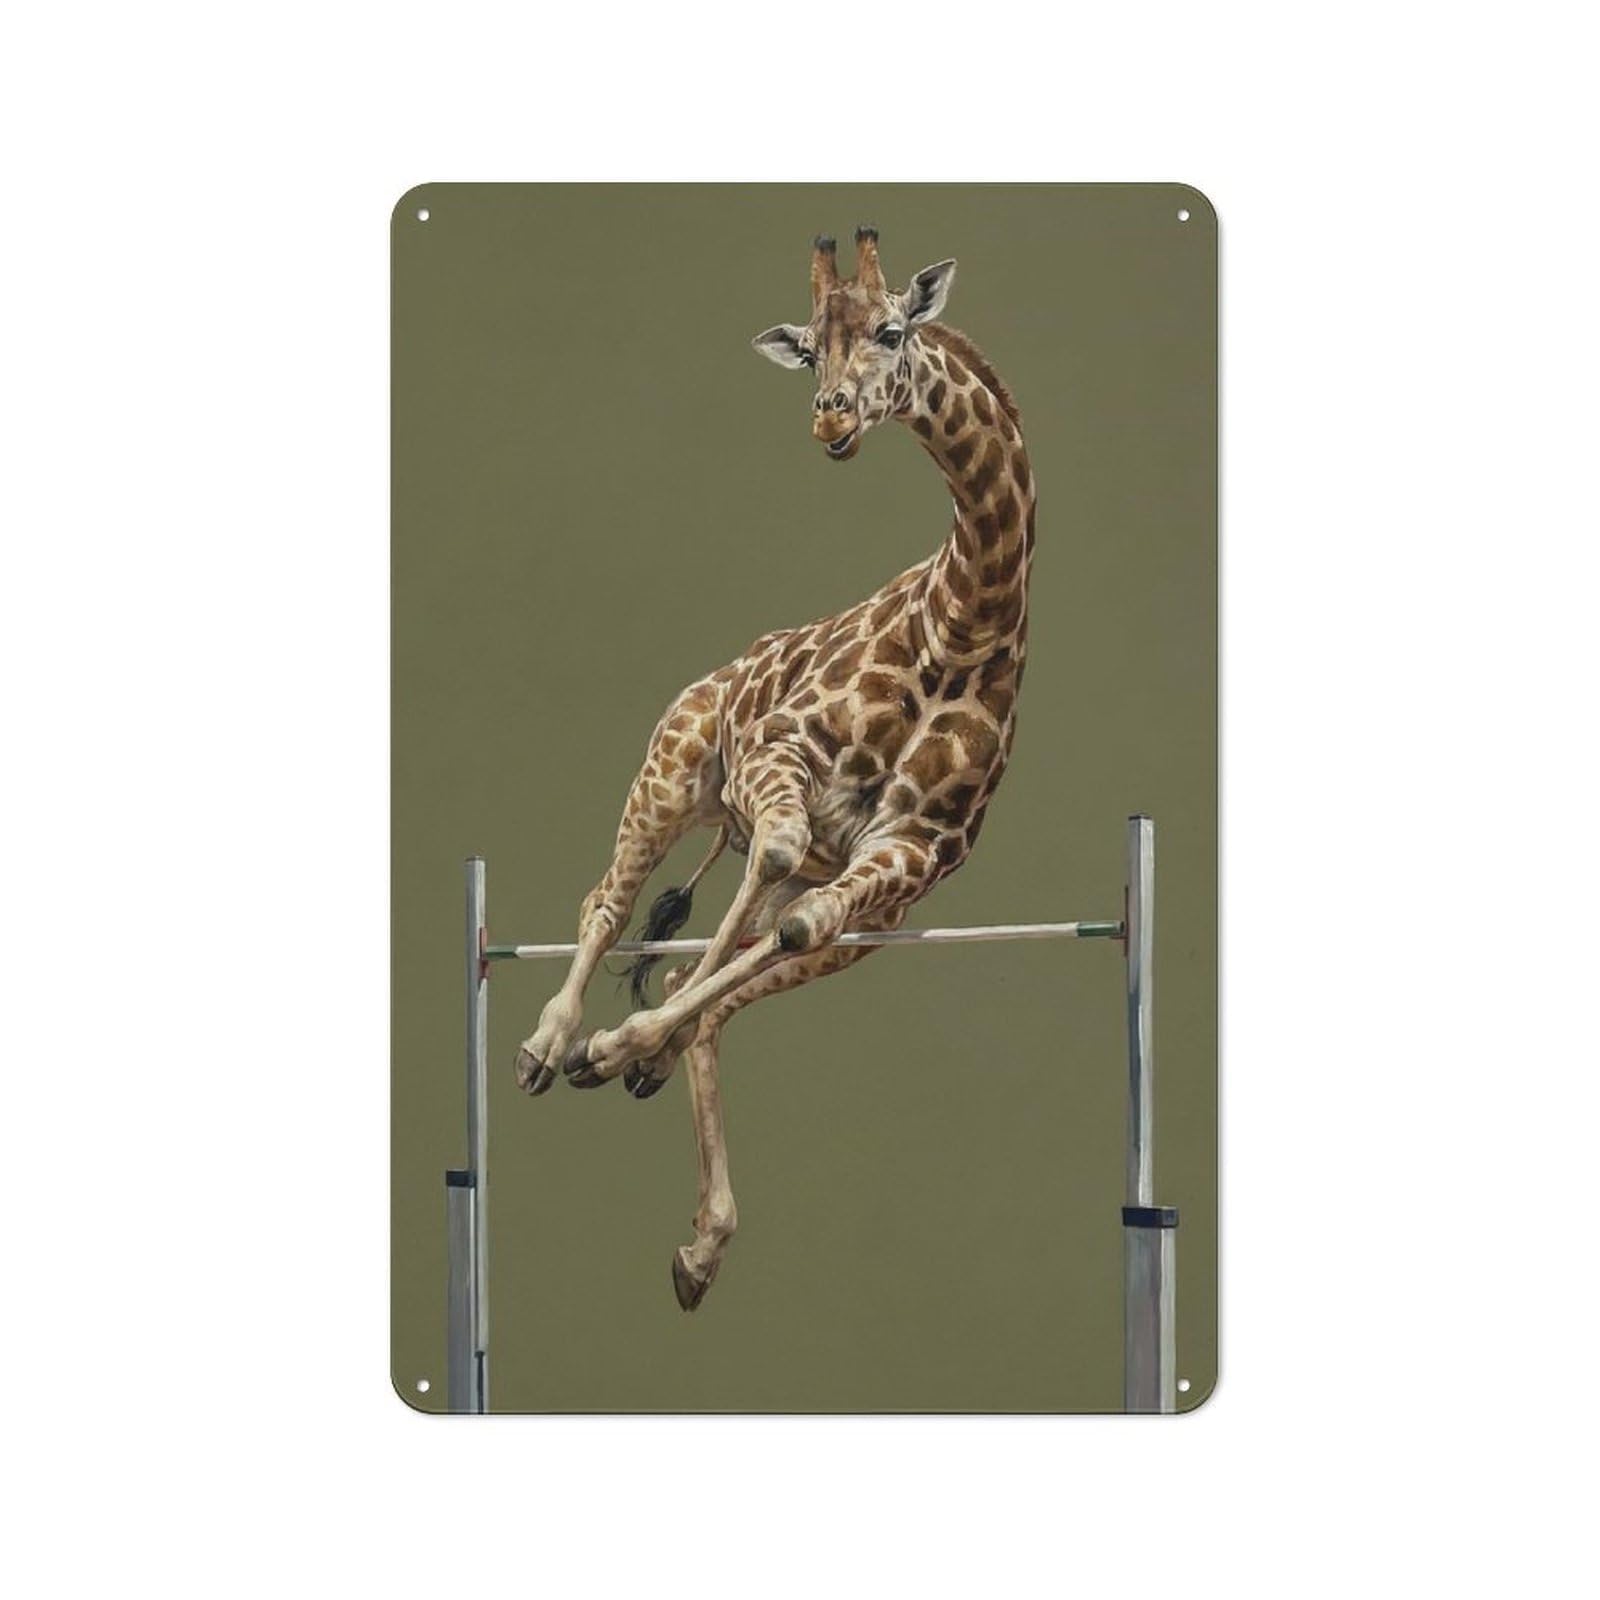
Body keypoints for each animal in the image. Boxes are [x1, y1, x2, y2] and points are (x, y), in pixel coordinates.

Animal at [514, 227, 1037, 1309]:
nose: (829, 414)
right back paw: (549, 1043)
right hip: (674, 770)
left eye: (891, 331)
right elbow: (735, 897)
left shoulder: (906, 859)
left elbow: (780, 936)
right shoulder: (779, 755)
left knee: (741, 944)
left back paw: (692, 1213)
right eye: (809, 346)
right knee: (609, 903)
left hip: (853, 900)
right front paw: (603, 1043)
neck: (970, 623)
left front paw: (635, 1046)